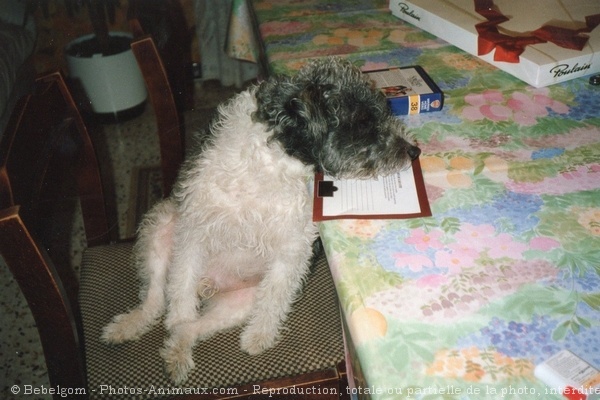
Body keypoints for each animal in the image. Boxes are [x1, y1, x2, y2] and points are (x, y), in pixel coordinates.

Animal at [102, 57, 422, 384]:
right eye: (363, 122)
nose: (414, 150)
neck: (277, 159)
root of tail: (210, 285)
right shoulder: (194, 228)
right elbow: (180, 289)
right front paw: (180, 316)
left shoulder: (293, 247)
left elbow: (274, 296)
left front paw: (258, 338)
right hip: (161, 225)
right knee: (155, 299)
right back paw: (126, 328)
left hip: (238, 304)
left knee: (191, 327)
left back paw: (177, 355)